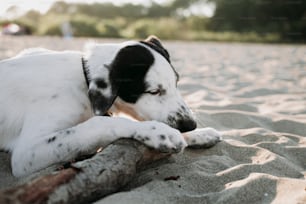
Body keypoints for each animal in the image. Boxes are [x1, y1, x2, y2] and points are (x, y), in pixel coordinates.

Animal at [0, 36, 221, 177]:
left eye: (177, 82)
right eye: (153, 91)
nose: (190, 125)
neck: (82, 78)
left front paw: (200, 134)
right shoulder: (26, 153)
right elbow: (99, 123)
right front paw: (159, 133)